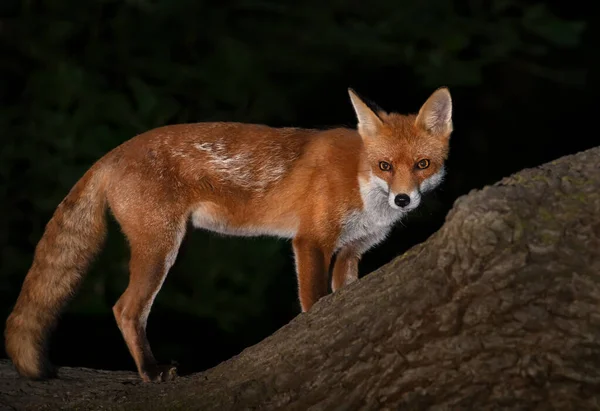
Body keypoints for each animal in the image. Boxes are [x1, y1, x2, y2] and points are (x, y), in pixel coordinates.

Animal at [5, 86, 454, 384]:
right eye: (384, 165)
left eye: (422, 164)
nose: (402, 200)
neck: (360, 180)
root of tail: (114, 152)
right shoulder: (311, 242)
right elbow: (312, 302)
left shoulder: (350, 254)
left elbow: (343, 295)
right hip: (161, 250)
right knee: (124, 309)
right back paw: (150, 371)